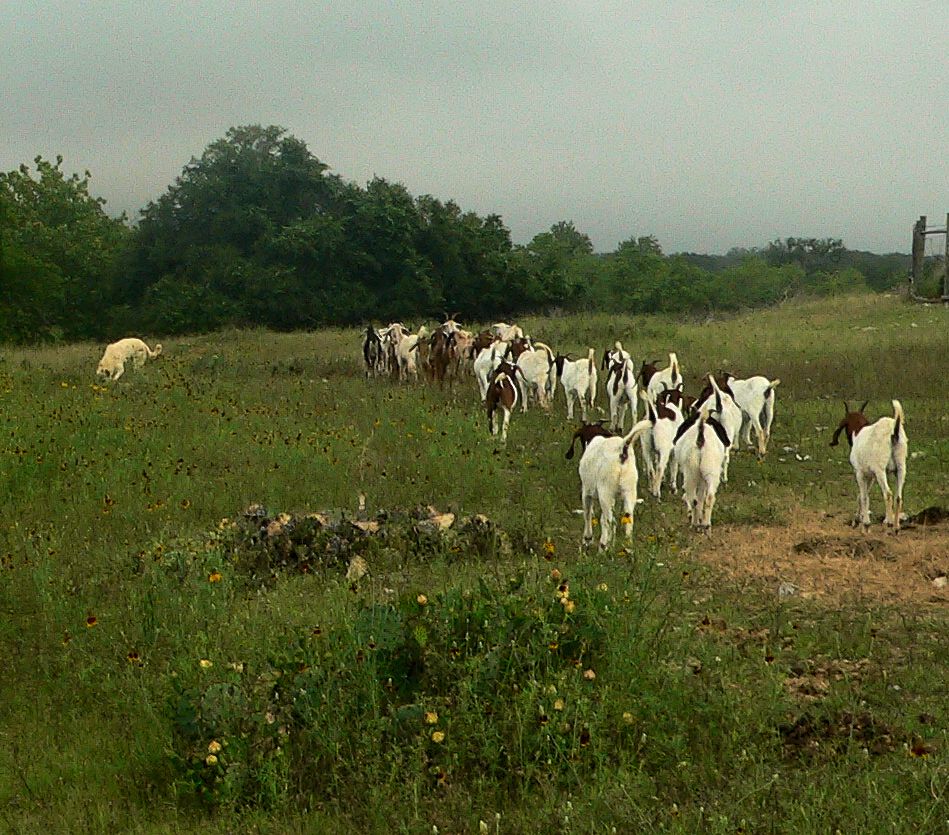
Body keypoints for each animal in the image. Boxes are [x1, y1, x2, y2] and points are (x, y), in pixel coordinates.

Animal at [576, 418, 652, 548]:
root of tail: (622, 450)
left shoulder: (587, 490)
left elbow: (588, 514)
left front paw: (587, 539)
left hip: (606, 492)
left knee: (608, 520)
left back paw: (603, 546)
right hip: (629, 491)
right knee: (627, 518)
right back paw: (627, 546)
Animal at [828, 402, 912, 532]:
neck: (857, 434)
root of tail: (894, 430)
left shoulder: (859, 473)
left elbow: (863, 496)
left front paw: (866, 523)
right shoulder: (871, 476)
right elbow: (862, 495)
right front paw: (857, 521)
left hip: (880, 469)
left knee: (888, 494)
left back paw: (888, 522)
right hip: (901, 467)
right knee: (898, 497)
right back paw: (896, 527)